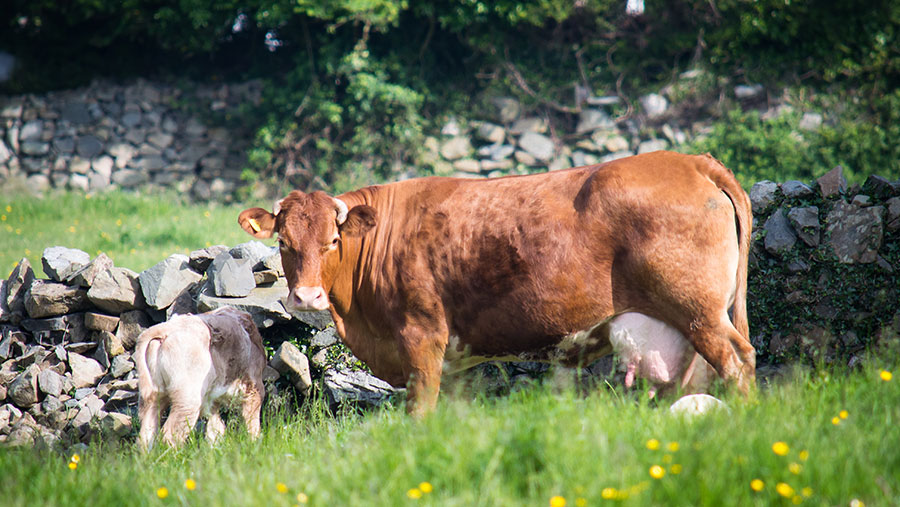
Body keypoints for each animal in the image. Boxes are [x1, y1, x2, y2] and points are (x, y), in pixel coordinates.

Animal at [134, 306, 268, 452]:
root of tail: (166, 328)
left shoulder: (212, 400)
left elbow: (215, 430)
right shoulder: (254, 387)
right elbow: (252, 423)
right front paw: (255, 445)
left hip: (153, 396)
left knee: (146, 435)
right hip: (187, 399)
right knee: (170, 434)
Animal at [237, 151, 752, 416]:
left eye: (332, 241)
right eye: (283, 240)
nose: (306, 297)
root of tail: (691, 161)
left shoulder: (422, 338)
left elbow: (420, 411)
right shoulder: (453, 360)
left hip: (701, 314)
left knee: (738, 362)